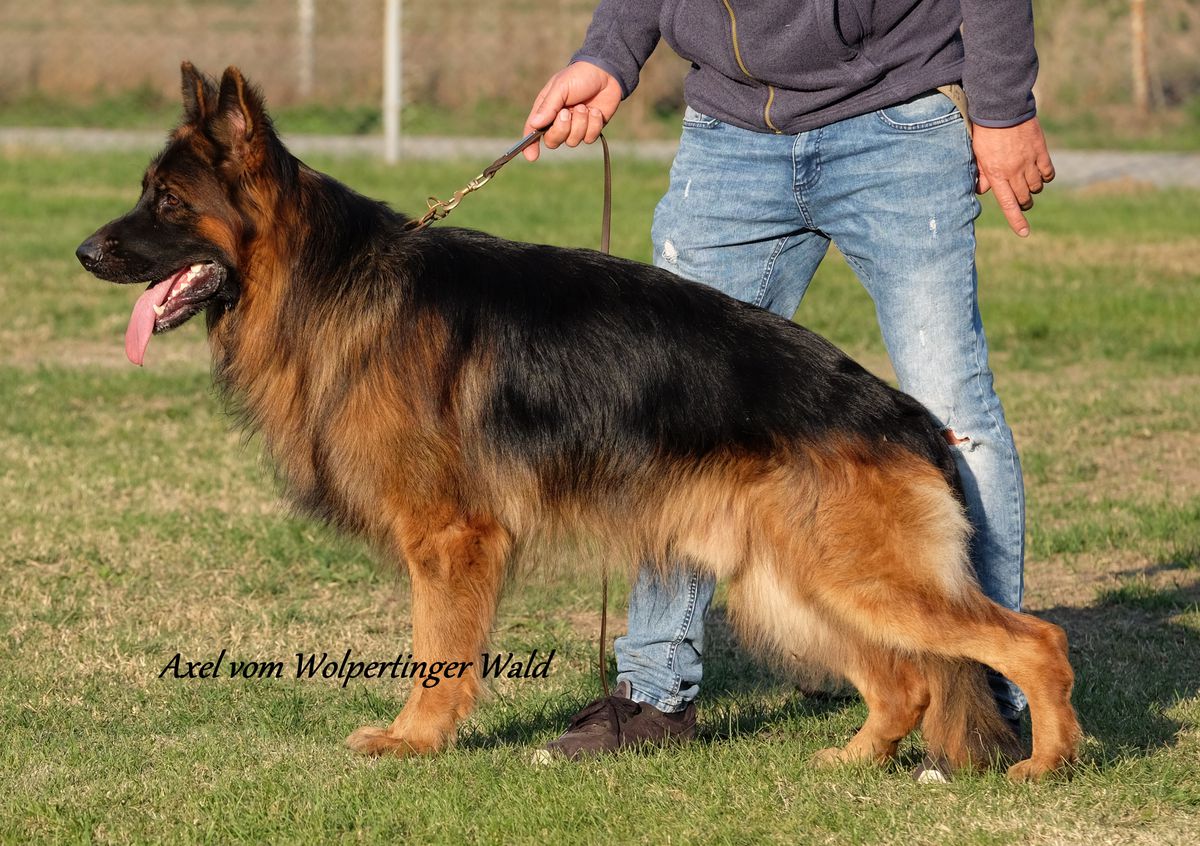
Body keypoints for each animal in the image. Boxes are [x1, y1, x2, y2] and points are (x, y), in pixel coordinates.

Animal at [79, 64, 1084, 777]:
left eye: (166, 202)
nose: (84, 252)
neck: (328, 281)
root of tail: (908, 416)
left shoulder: (450, 539)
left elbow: (436, 655)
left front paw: (416, 741)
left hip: (852, 578)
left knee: (1032, 642)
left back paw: (1046, 764)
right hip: (794, 583)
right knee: (905, 680)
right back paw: (854, 759)